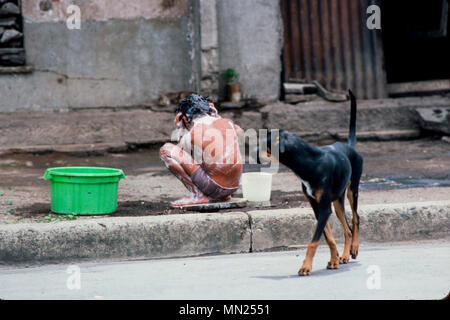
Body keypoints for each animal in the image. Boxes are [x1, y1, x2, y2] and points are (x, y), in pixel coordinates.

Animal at [260, 89, 362, 276]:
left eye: (266, 145)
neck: (311, 161)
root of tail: (349, 147)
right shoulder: (318, 207)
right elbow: (328, 237)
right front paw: (334, 260)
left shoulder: (324, 209)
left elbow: (313, 241)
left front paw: (306, 267)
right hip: (337, 203)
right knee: (347, 230)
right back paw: (344, 256)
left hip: (353, 190)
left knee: (356, 218)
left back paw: (354, 249)